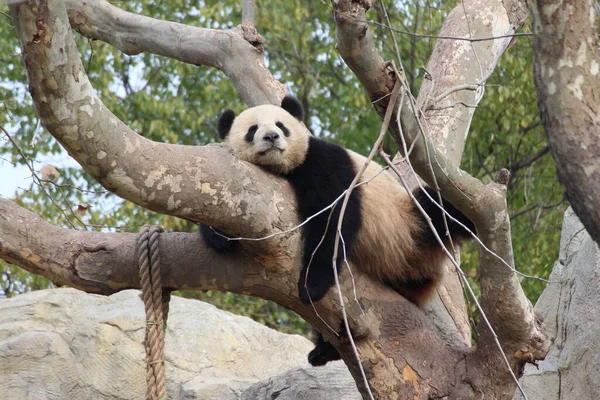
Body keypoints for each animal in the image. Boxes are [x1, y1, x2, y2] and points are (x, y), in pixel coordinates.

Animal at [202, 96, 474, 366]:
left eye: (281, 125)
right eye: (252, 129)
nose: (271, 137)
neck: (279, 169)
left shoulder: (322, 161)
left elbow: (332, 218)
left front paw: (311, 284)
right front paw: (220, 237)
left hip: (409, 223)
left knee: (440, 210)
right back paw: (323, 350)